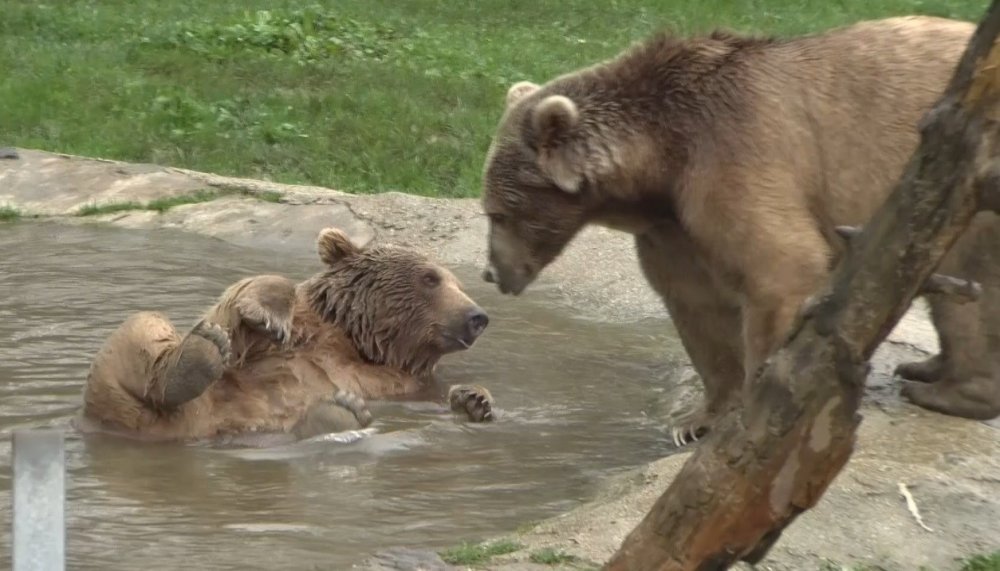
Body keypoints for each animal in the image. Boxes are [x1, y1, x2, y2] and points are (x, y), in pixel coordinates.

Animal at [79, 226, 496, 444]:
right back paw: (198, 355)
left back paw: (340, 413)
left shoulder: (408, 385)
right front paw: (265, 312)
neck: (360, 342)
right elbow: (252, 312)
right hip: (126, 397)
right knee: (142, 329)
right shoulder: (300, 329)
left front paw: (475, 398)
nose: (477, 316)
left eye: (458, 283)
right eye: (431, 277)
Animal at [478, 16, 1000, 446]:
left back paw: (945, 390)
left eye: (496, 213)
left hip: (967, 187)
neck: (661, 161)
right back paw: (927, 367)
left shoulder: (734, 152)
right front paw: (695, 420)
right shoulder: (674, 226)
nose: (490, 272)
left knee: (970, 291)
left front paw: (755, 409)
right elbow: (698, 309)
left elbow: (780, 269)